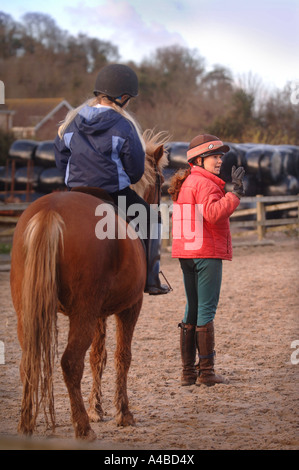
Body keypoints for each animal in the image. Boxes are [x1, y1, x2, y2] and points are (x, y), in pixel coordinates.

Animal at [9, 129, 169, 440]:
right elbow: (122, 356)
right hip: (82, 312)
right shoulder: (130, 307)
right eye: (161, 182)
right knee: (70, 362)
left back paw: (26, 425)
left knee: (28, 361)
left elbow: (98, 356)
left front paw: (98, 408)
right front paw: (123, 413)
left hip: (29, 312)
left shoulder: (98, 313)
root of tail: (50, 212)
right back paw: (82, 427)